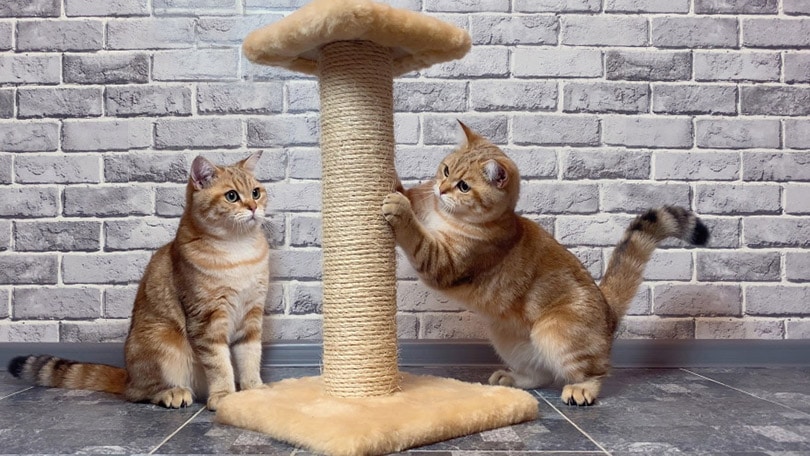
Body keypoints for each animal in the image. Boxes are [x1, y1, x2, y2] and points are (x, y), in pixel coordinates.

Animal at [8, 152, 272, 410]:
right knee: (138, 393)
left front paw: (254, 390)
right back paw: (172, 393)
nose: (253, 207)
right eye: (231, 196)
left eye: (256, 192)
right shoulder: (207, 319)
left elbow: (250, 356)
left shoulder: (252, 314)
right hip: (162, 341)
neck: (238, 250)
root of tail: (128, 376)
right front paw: (224, 395)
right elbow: (219, 364)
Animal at [382, 124, 704, 406]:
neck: (443, 215)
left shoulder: (444, 261)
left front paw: (399, 209)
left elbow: (417, 236)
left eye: (463, 187)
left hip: (555, 333)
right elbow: (407, 193)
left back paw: (581, 390)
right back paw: (510, 379)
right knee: (540, 375)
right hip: (507, 338)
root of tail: (608, 308)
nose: (441, 189)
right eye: (446, 169)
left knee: (595, 371)